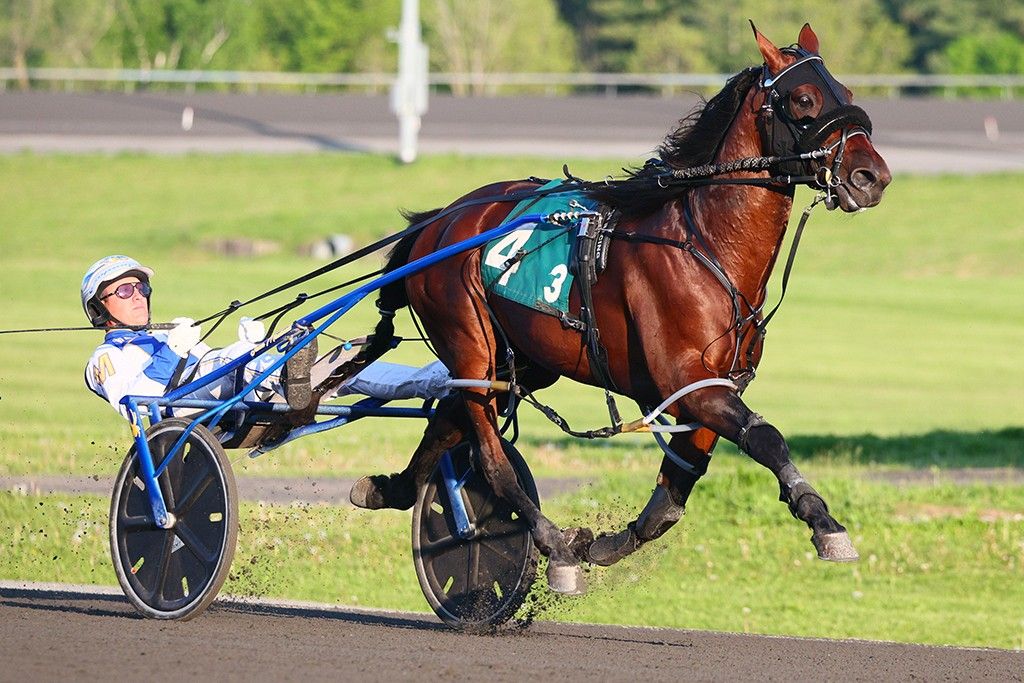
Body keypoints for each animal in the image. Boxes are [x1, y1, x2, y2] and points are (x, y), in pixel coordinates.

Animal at [346, 24, 888, 593]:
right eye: (804, 100)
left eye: (847, 92)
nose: (872, 176)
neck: (705, 245)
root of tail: (441, 220)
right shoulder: (690, 382)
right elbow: (766, 437)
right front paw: (824, 522)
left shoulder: (709, 389)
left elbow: (670, 501)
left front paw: (602, 544)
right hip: (470, 343)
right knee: (488, 455)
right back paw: (554, 547)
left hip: (522, 362)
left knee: (448, 418)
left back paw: (390, 488)